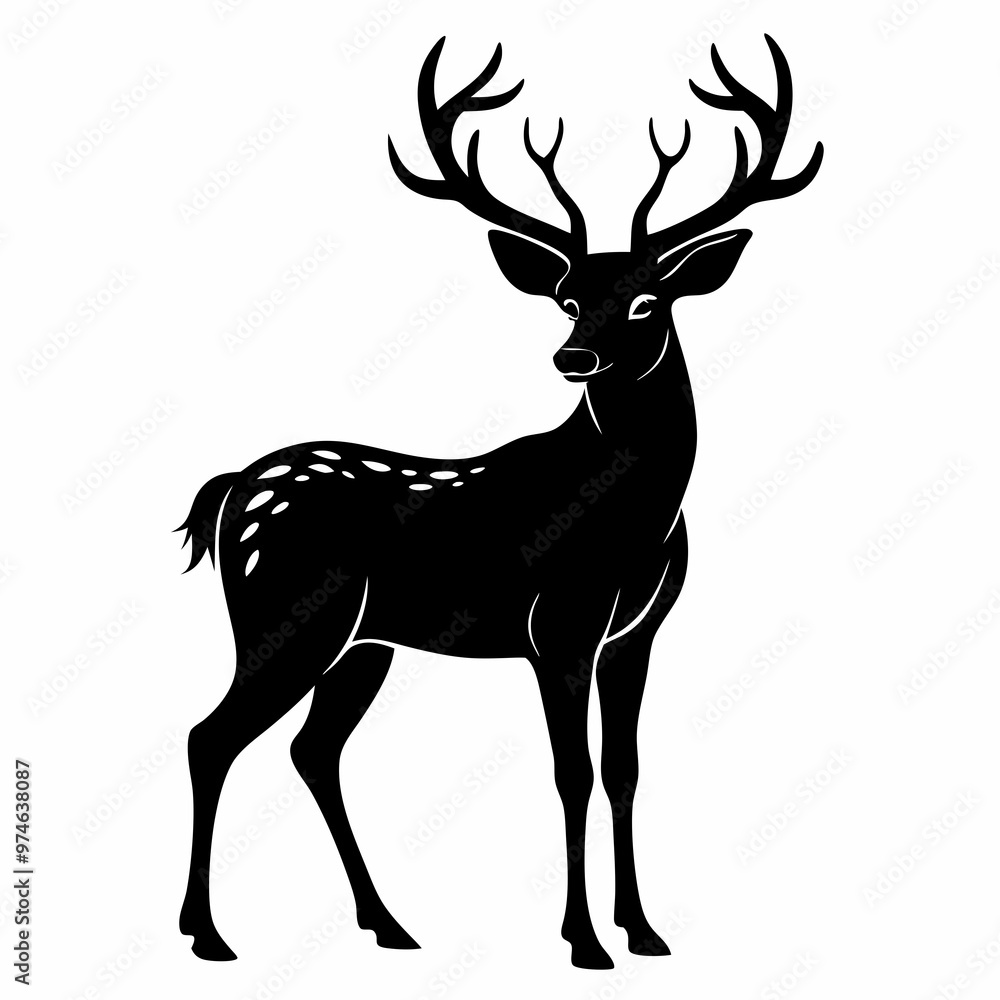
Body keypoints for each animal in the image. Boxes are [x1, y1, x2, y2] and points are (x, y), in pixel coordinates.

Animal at [176, 34, 822, 969]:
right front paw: (584, 941)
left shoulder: (637, 633)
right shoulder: (560, 624)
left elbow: (624, 770)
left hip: (363, 643)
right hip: (282, 612)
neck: (638, 522)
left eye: (646, 298)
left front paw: (645, 930)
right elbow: (572, 773)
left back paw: (388, 923)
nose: (574, 357)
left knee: (311, 750)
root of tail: (231, 491)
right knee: (211, 735)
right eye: (566, 297)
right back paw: (208, 934)